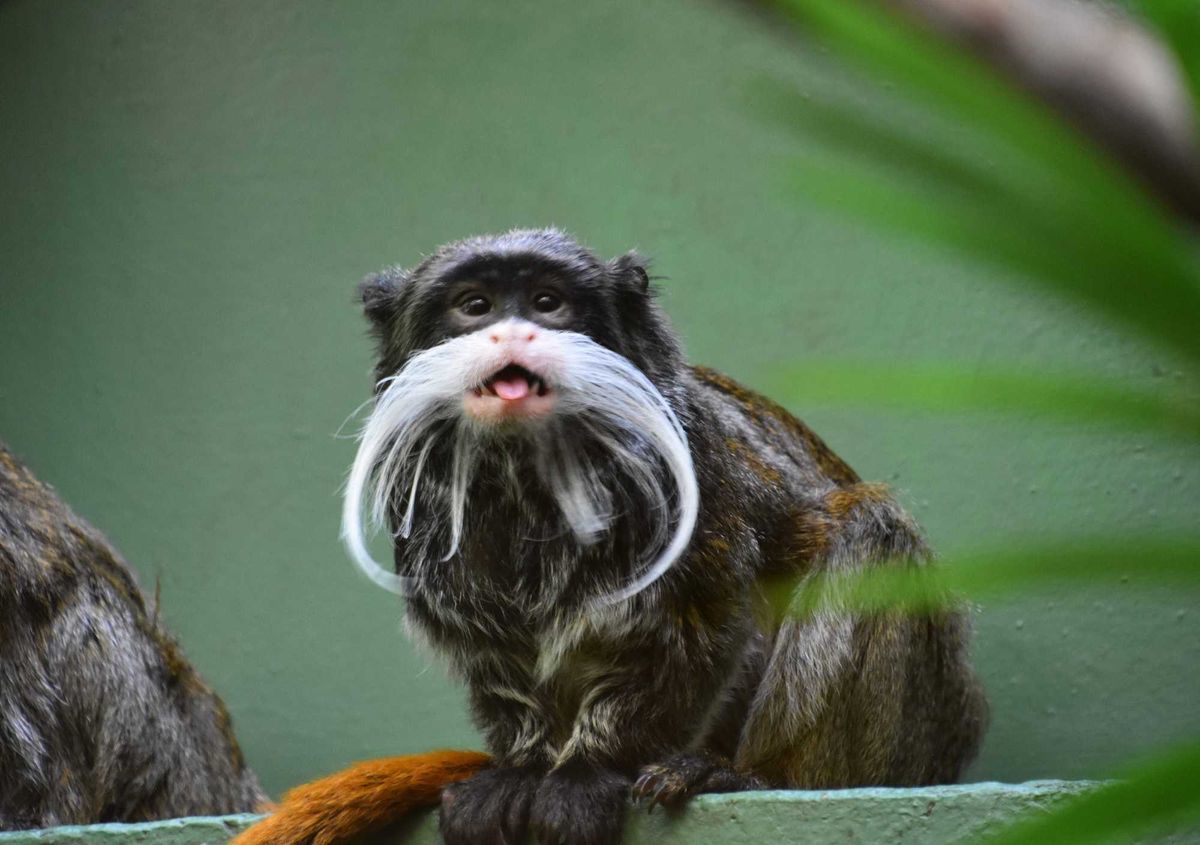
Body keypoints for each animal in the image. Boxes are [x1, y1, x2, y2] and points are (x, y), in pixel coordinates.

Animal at [237, 227, 987, 845]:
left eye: (547, 302)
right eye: (476, 306)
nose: (513, 332)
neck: (528, 478)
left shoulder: (692, 473)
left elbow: (698, 630)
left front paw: (589, 771)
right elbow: (495, 653)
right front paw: (526, 766)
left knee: (872, 533)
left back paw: (762, 777)